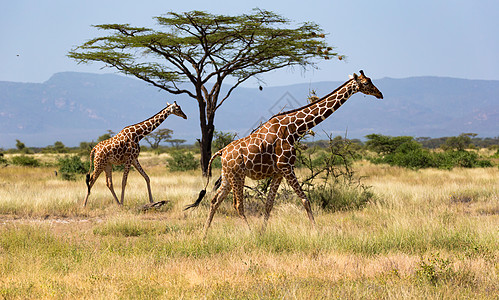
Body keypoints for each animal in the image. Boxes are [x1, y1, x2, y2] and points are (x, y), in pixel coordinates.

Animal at [186, 71, 384, 237]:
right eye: (366, 83)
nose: (380, 94)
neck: (294, 129)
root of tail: (221, 152)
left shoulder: (278, 172)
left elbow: (269, 204)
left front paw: (263, 233)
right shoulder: (287, 167)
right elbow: (305, 199)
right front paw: (316, 232)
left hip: (227, 176)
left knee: (214, 201)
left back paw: (204, 235)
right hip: (238, 175)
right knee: (237, 205)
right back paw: (249, 234)